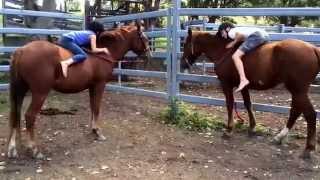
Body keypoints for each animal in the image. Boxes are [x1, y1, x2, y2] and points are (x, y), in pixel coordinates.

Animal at [7, 22, 152, 159]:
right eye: (143, 36)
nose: (148, 54)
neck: (100, 54)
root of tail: (21, 50)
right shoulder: (99, 85)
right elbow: (97, 108)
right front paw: (98, 132)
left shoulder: (92, 87)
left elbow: (92, 107)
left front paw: (93, 130)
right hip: (40, 93)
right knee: (29, 116)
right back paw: (35, 150)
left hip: (20, 90)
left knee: (16, 114)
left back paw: (12, 149)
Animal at [181, 28, 320, 158]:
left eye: (185, 44)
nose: (182, 64)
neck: (223, 51)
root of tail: (313, 48)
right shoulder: (244, 87)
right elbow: (248, 104)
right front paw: (252, 127)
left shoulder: (226, 84)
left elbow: (230, 104)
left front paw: (229, 129)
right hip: (296, 91)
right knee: (295, 111)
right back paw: (280, 137)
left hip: (298, 91)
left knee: (310, 114)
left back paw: (308, 148)